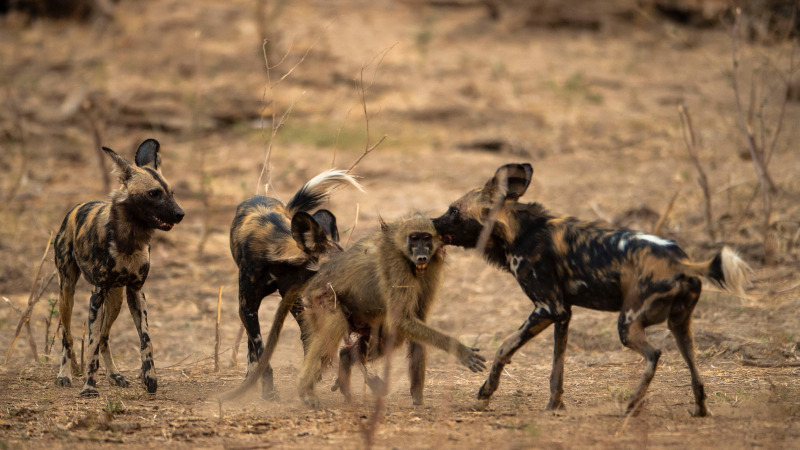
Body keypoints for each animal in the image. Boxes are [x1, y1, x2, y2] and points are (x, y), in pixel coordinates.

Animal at [54, 138, 183, 398]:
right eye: (154, 194)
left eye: (171, 193)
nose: (180, 214)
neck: (129, 240)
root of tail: (75, 208)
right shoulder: (96, 295)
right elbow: (91, 345)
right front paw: (89, 388)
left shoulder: (136, 292)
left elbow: (145, 340)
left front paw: (150, 379)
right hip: (67, 293)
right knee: (67, 335)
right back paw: (65, 375)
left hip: (116, 299)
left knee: (105, 337)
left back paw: (114, 375)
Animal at [230, 170, 364, 400]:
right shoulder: (247, 307)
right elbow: (261, 350)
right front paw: (268, 390)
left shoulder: (295, 300)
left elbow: (308, 341)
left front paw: (311, 379)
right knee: (251, 343)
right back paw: (250, 378)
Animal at [432, 163, 752, 416]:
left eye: (453, 210)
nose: (432, 223)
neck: (519, 231)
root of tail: (682, 261)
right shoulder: (563, 313)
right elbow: (556, 370)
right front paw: (554, 407)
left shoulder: (546, 308)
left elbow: (503, 348)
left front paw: (485, 393)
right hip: (680, 326)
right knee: (695, 371)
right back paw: (700, 411)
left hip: (627, 324)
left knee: (654, 354)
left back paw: (632, 405)